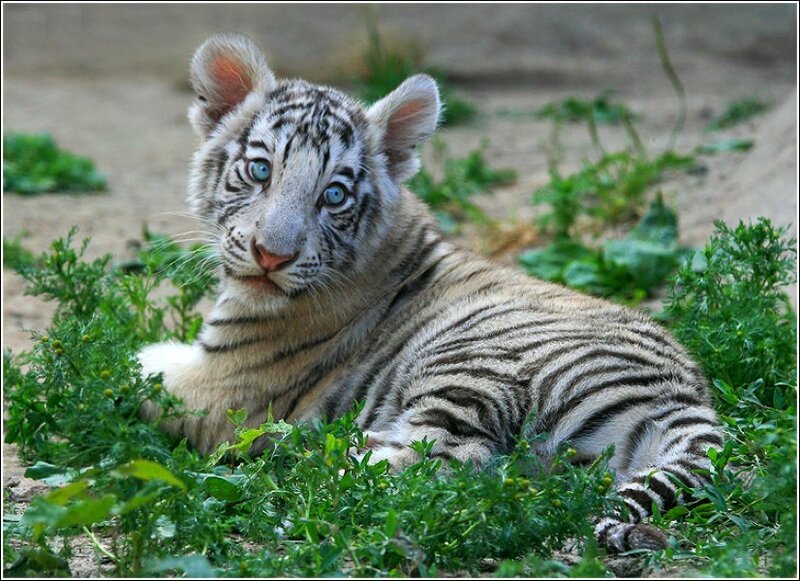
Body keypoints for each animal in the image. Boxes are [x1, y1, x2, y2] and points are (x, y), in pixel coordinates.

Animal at [138, 33, 724, 552]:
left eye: (334, 195)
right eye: (260, 170)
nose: (271, 256)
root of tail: (688, 397)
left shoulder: (222, 388)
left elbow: (136, 371)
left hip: (472, 364)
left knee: (450, 462)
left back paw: (304, 461)